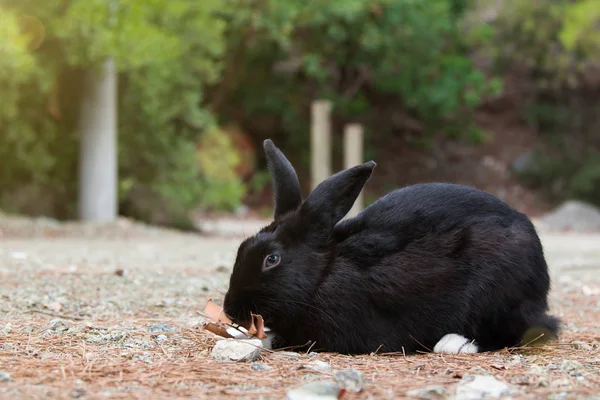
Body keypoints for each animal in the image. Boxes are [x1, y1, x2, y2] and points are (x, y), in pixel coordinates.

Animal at [223, 139, 560, 354]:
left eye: (272, 259)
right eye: (242, 248)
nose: (230, 310)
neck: (322, 275)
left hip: (498, 291)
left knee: (515, 331)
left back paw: (456, 343)